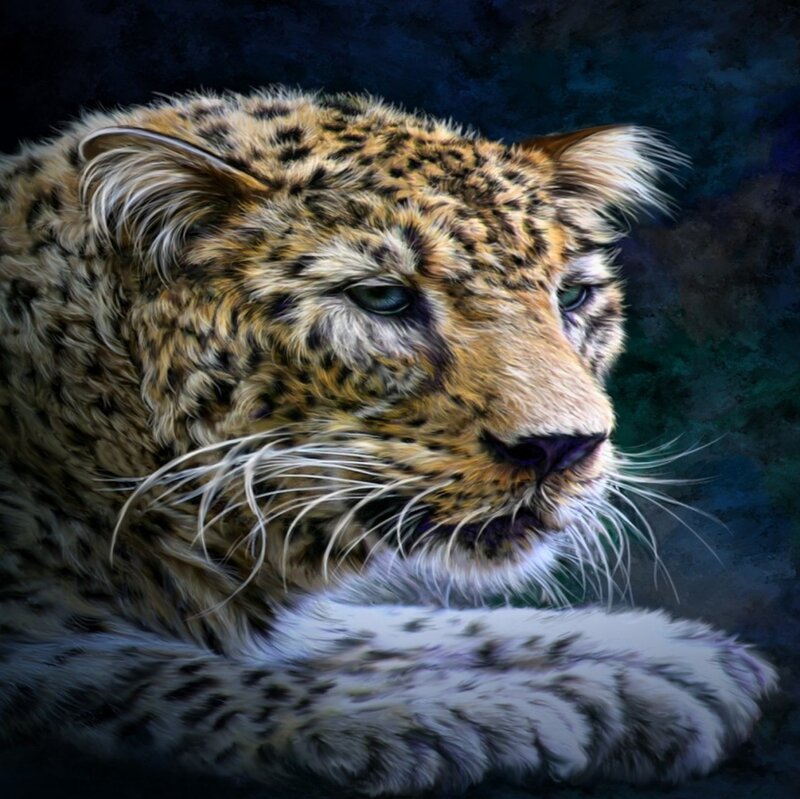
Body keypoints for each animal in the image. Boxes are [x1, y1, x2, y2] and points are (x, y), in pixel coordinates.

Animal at [0, 87, 777, 796]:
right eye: (382, 300)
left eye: (572, 297)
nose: (562, 449)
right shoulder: (58, 659)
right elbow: (153, 675)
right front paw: (483, 708)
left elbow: (392, 628)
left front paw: (663, 656)